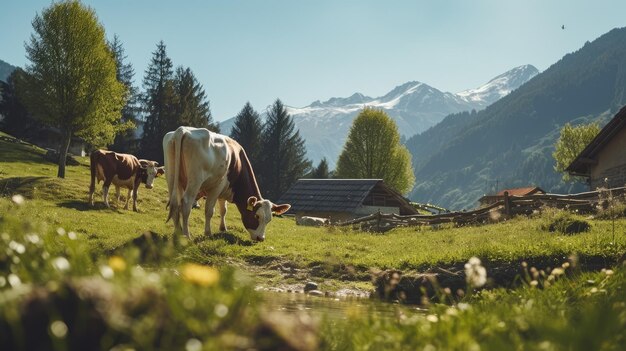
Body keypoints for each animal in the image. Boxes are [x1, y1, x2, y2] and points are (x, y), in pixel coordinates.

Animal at [160, 126, 288, 242]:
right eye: (257, 216)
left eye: (269, 220)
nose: (260, 238)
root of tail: (182, 130)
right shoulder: (217, 186)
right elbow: (210, 211)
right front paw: (208, 233)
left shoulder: (223, 190)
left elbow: (223, 210)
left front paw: (223, 228)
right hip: (195, 180)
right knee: (186, 204)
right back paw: (186, 235)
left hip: (171, 176)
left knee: (175, 204)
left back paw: (178, 232)